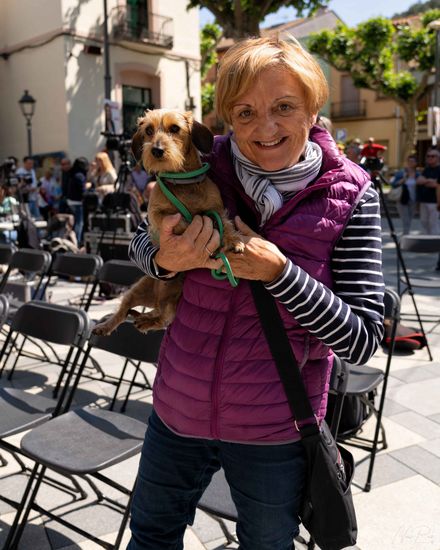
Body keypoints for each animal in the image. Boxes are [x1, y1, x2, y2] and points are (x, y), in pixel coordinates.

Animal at [93, 110, 244, 336]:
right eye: (148, 130)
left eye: (175, 128)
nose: (156, 150)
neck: (182, 182)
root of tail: (157, 300)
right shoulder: (155, 215)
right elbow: (180, 219)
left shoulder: (217, 210)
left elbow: (225, 223)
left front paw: (235, 241)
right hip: (140, 287)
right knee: (123, 310)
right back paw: (107, 325)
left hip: (173, 303)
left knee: (161, 318)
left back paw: (144, 320)